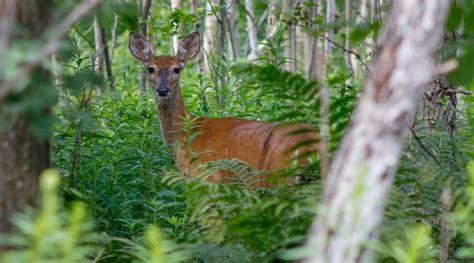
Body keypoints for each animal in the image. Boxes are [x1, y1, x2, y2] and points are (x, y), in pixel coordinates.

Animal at [128, 32, 324, 187]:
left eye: (176, 69)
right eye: (150, 69)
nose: (162, 90)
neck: (184, 134)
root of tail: (310, 144)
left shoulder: (207, 178)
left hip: (278, 177)